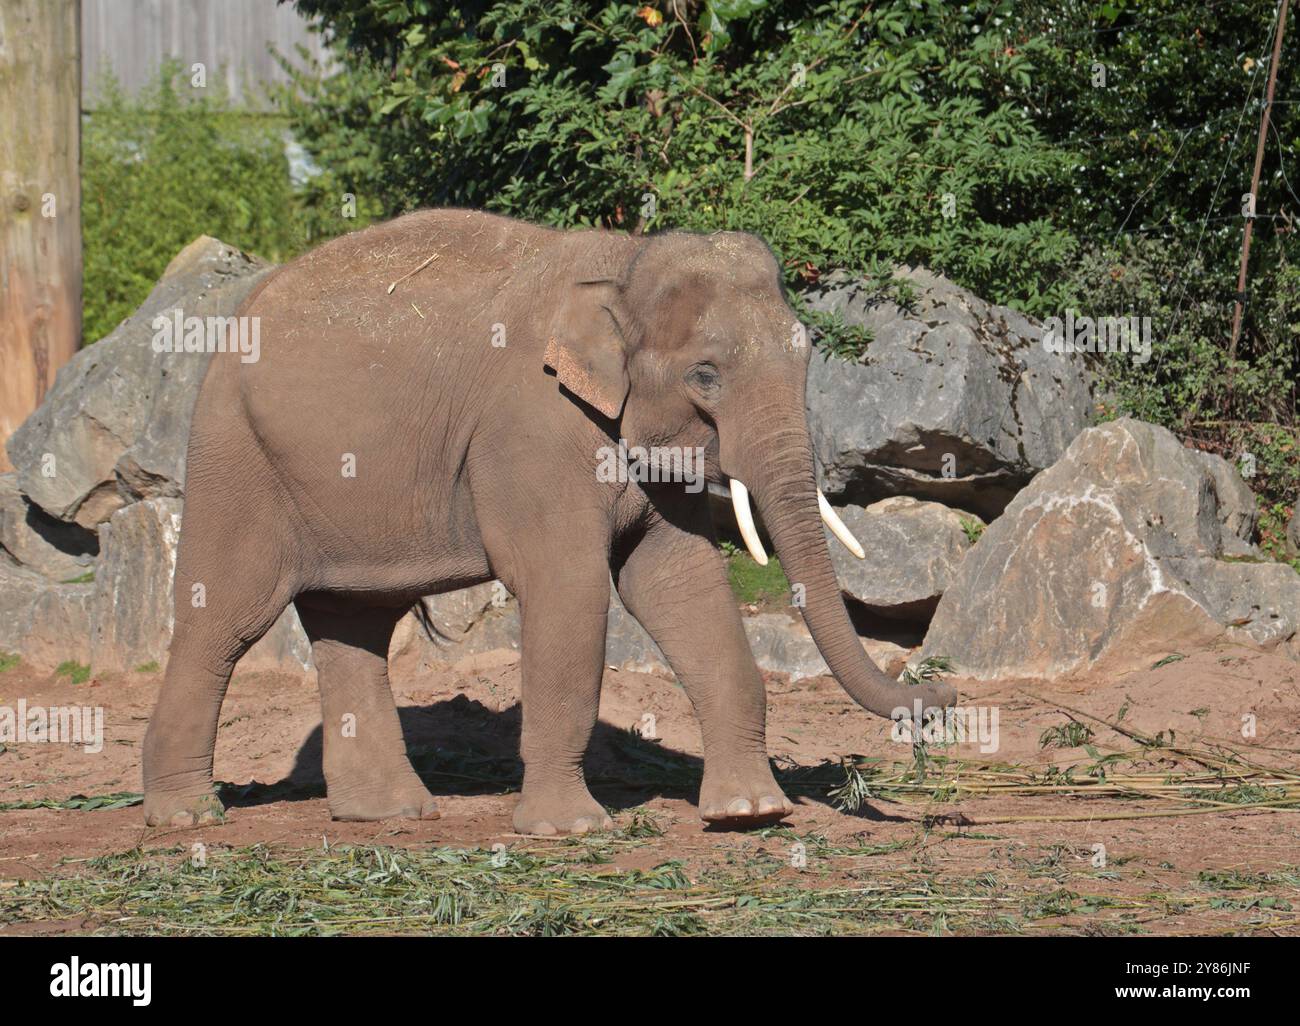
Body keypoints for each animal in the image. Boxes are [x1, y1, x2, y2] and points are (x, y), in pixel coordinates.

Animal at [142, 208, 956, 834]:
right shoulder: (532, 430)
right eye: (705, 374)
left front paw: (751, 814)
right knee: (226, 618)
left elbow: (679, 584)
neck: (625, 265)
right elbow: (569, 588)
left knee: (356, 624)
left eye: (808, 354)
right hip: (232, 454)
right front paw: (570, 830)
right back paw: (187, 817)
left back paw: (393, 815)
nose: (943, 699)